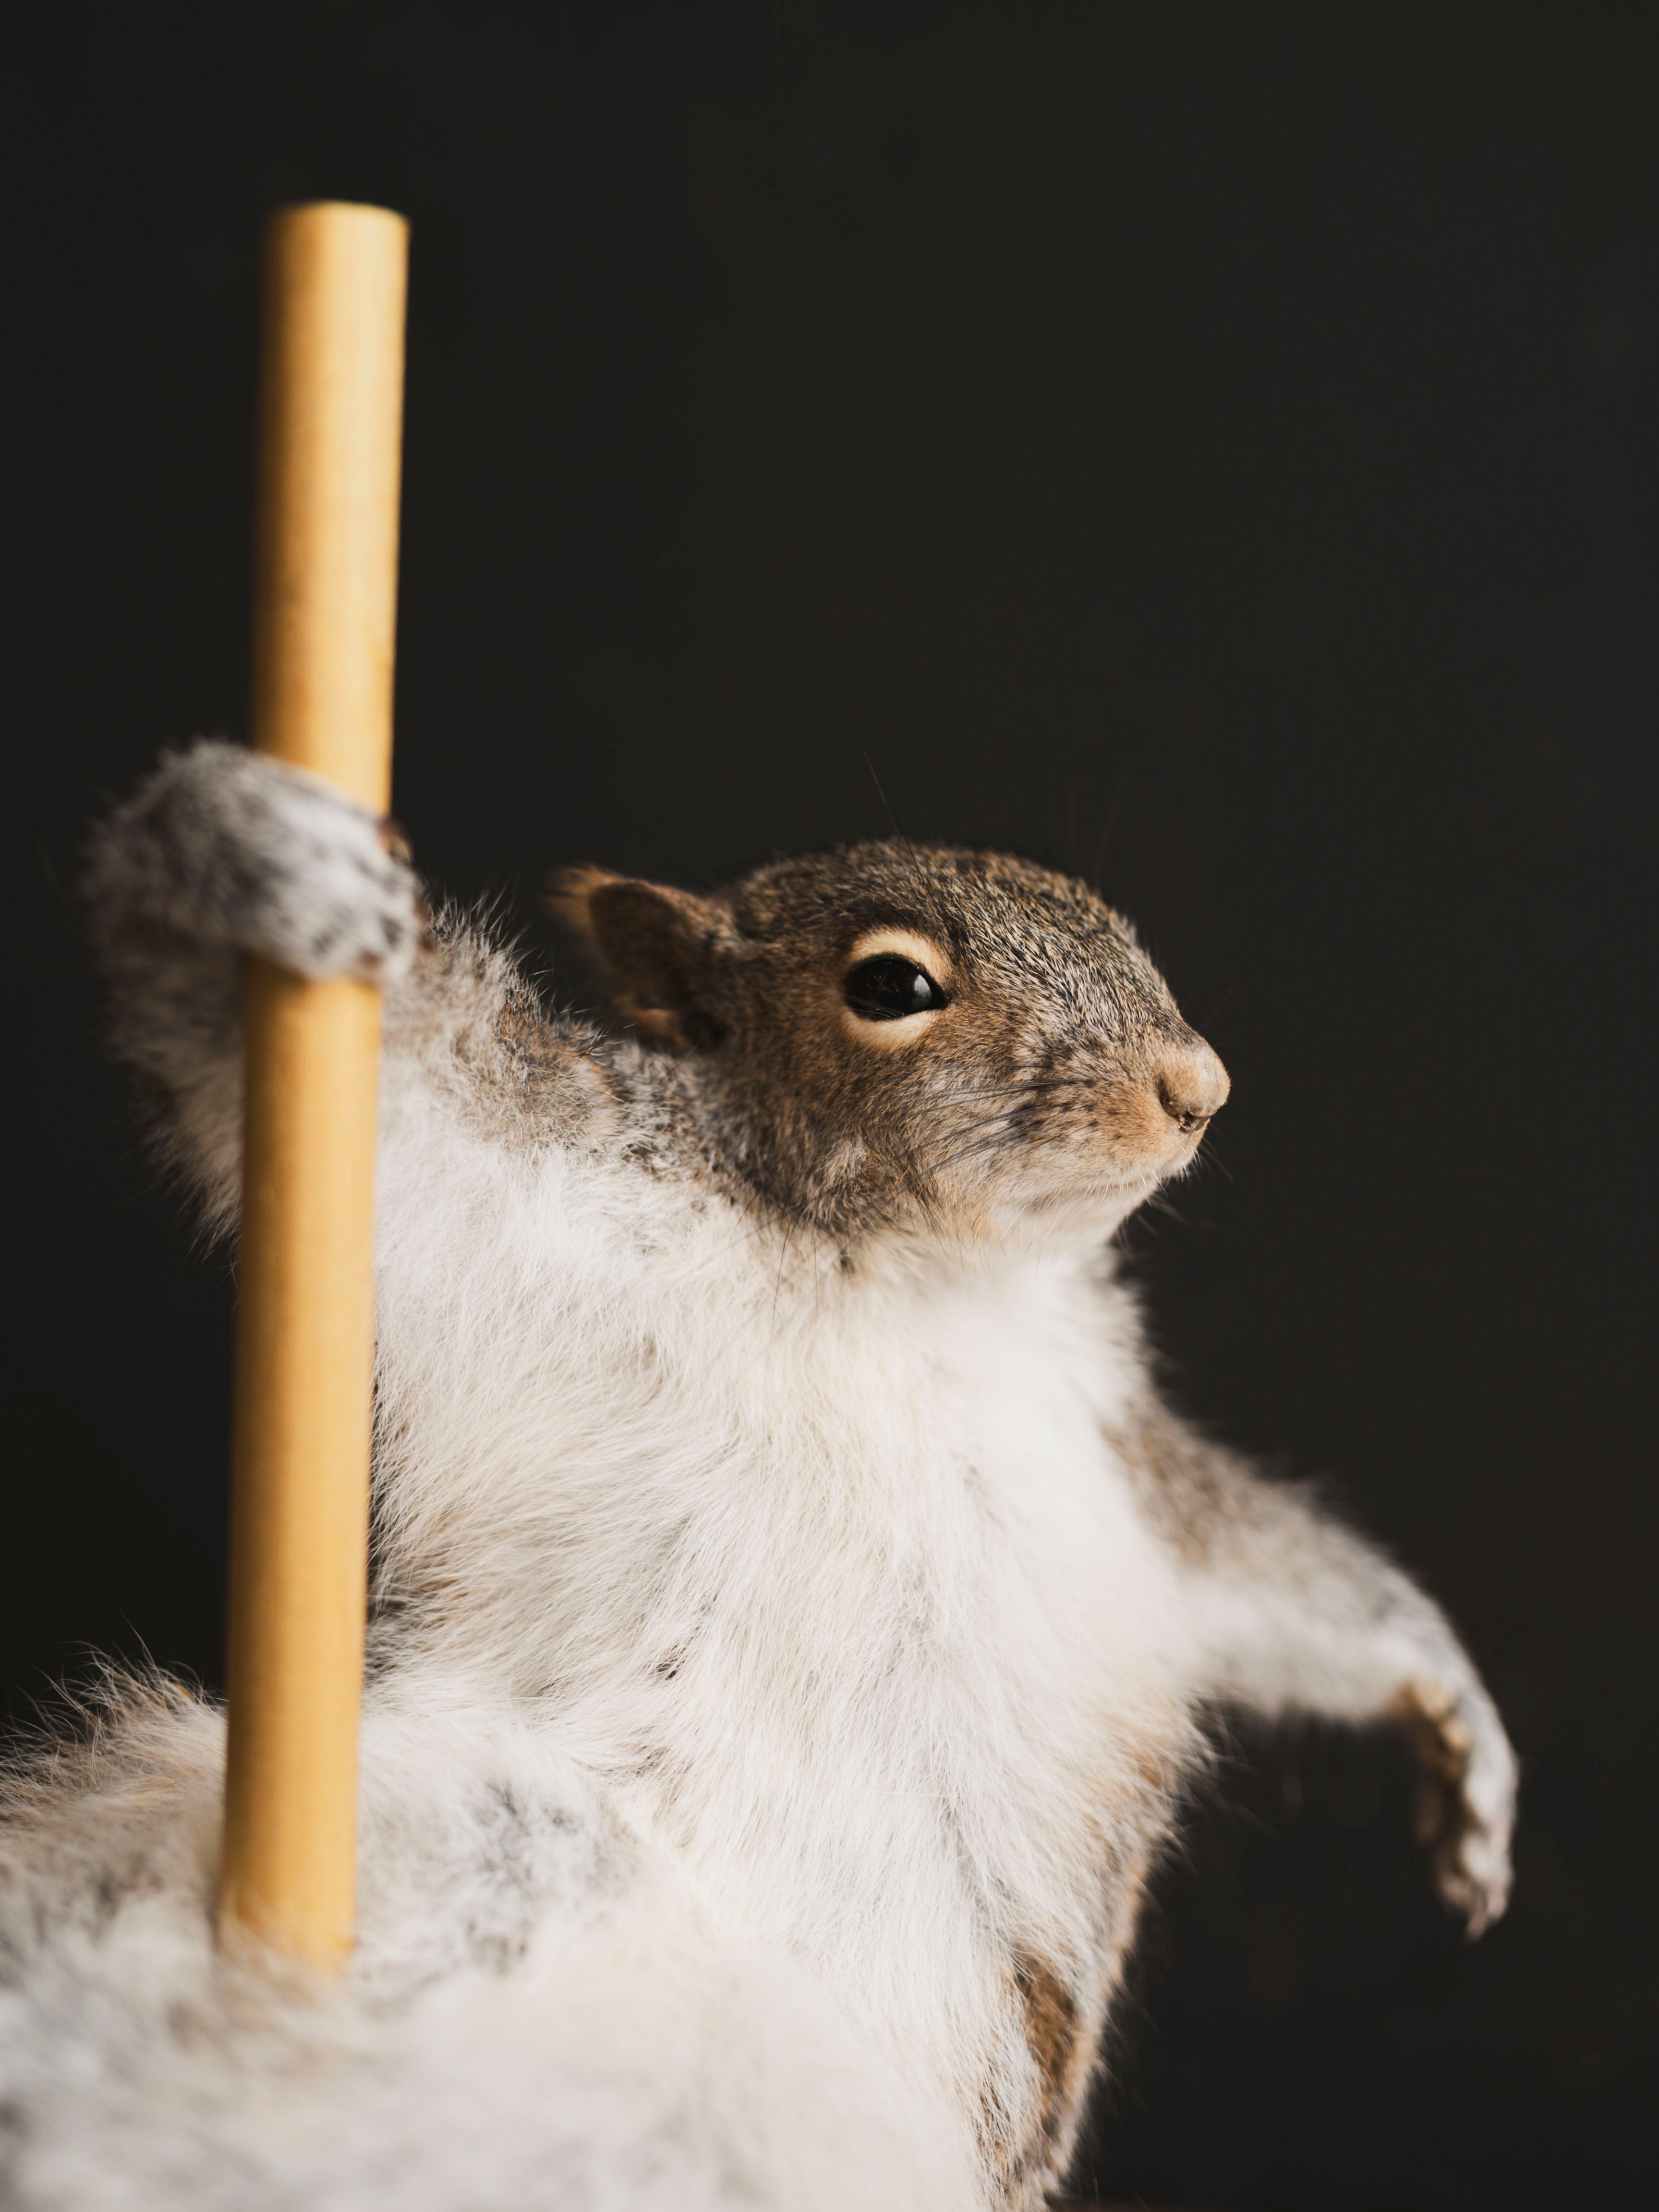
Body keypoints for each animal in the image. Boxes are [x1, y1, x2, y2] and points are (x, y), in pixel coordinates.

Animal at [0, 739, 1517, 2212]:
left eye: (1114, 922)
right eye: (891, 986)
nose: (1196, 1086)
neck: (904, 1276)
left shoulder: (1118, 1457)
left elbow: (1268, 1571)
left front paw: (1455, 1723)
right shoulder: (533, 1169)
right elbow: (364, 1084)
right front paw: (235, 854)